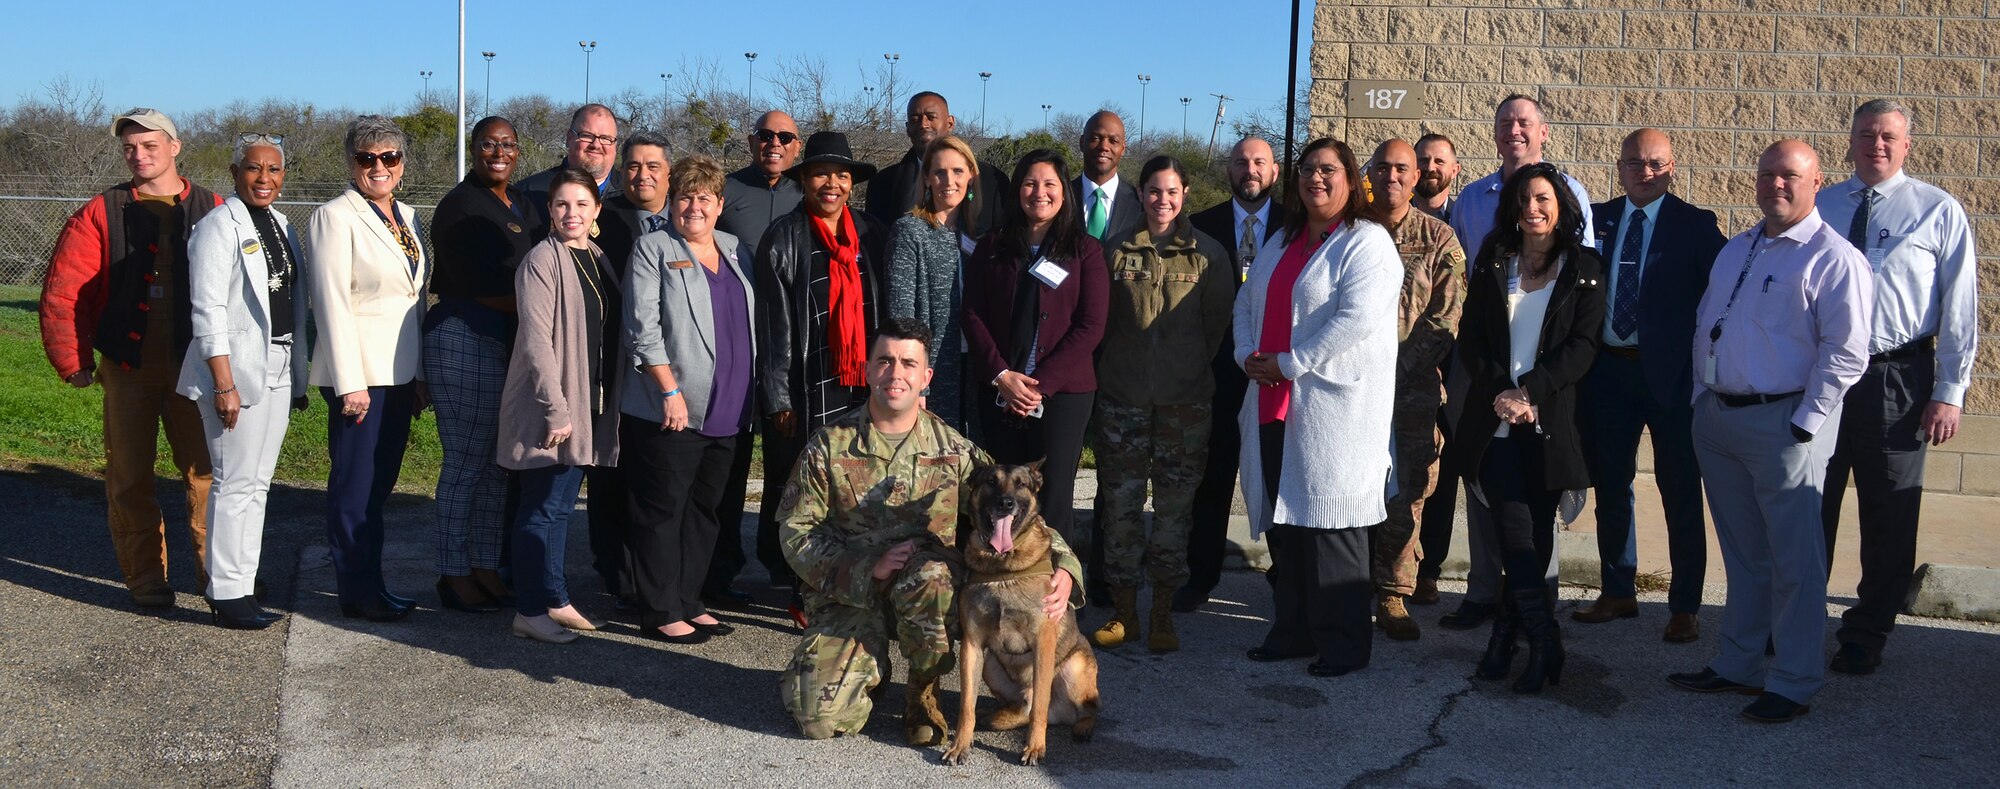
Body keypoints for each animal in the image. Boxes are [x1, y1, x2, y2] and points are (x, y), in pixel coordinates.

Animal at [944, 462, 1104, 764]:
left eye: (1021, 484)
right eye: (990, 481)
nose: (1006, 503)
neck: (1002, 564)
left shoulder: (1043, 643)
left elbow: (1039, 706)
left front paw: (1035, 747)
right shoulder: (972, 646)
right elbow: (966, 705)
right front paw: (960, 744)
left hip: (1075, 668)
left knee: (1085, 707)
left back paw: (1083, 727)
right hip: (991, 664)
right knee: (1024, 708)